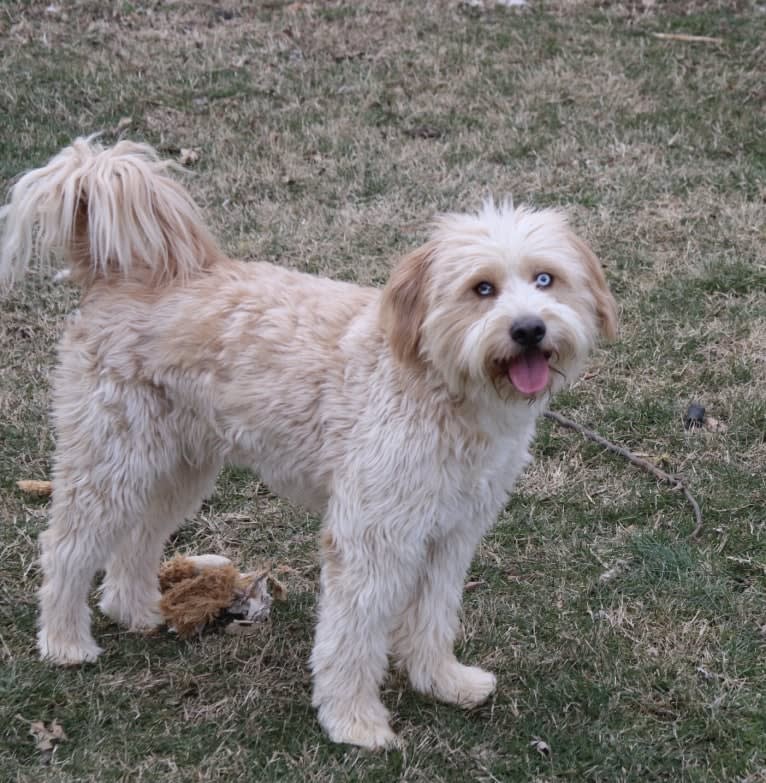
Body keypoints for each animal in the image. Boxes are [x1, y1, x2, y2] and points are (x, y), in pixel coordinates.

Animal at [0, 138, 616, 752]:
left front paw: (442, 681)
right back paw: (65, 642)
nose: (529, 329)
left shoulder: (452, 532)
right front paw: (354, 722)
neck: (438, 384)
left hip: (177, 466)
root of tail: (117, 275)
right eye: (481, 289)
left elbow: (434, 614)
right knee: (65, 545)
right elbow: (352, 633)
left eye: (545, 279)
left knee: (139, 538)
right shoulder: (372, 534)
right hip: (111, 458)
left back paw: (137, 610)